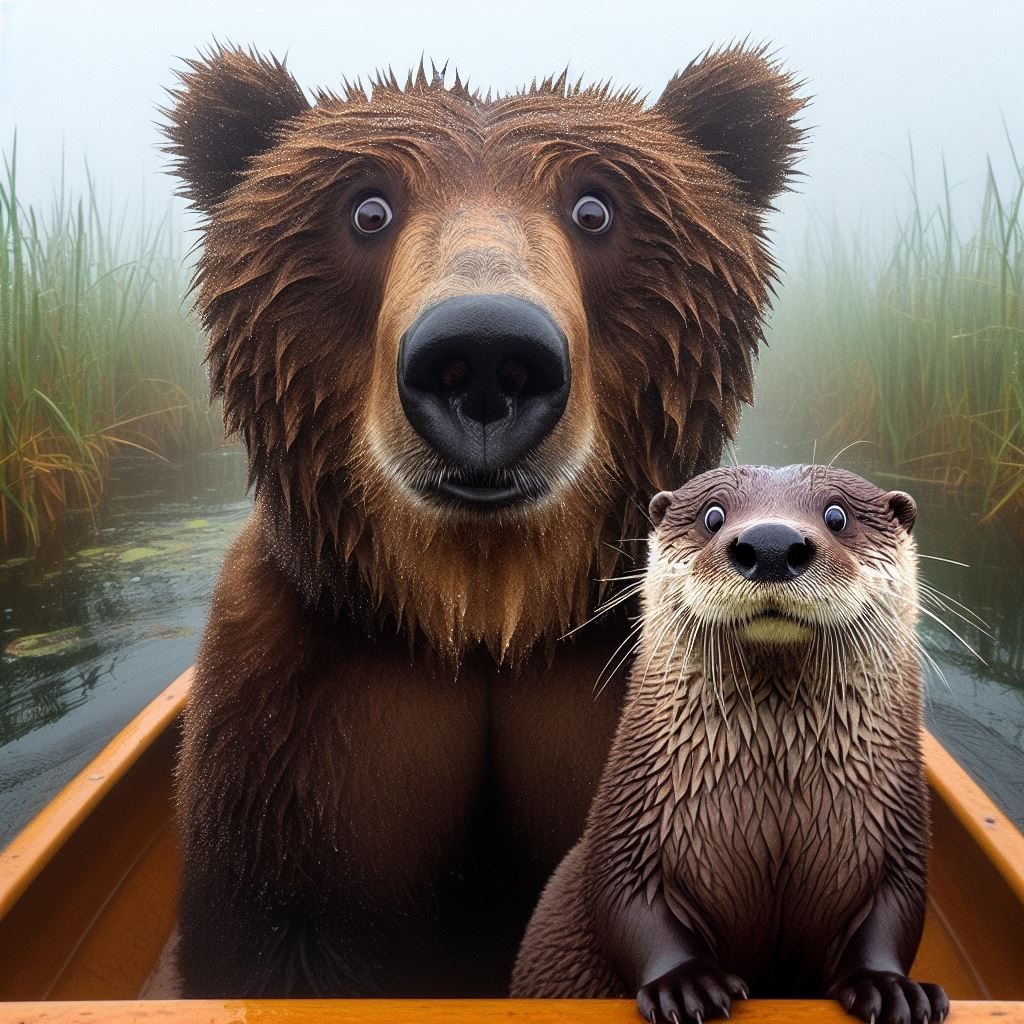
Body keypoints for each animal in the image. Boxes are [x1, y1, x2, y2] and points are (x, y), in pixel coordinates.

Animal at [512, 465, 949, 1024]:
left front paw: (890, 988)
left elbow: (892, 916)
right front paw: (685, 986)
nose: (772, 543)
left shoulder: (898, 847)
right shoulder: (630, 833)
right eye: (712, 515)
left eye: (837, 514)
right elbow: (630, 905)